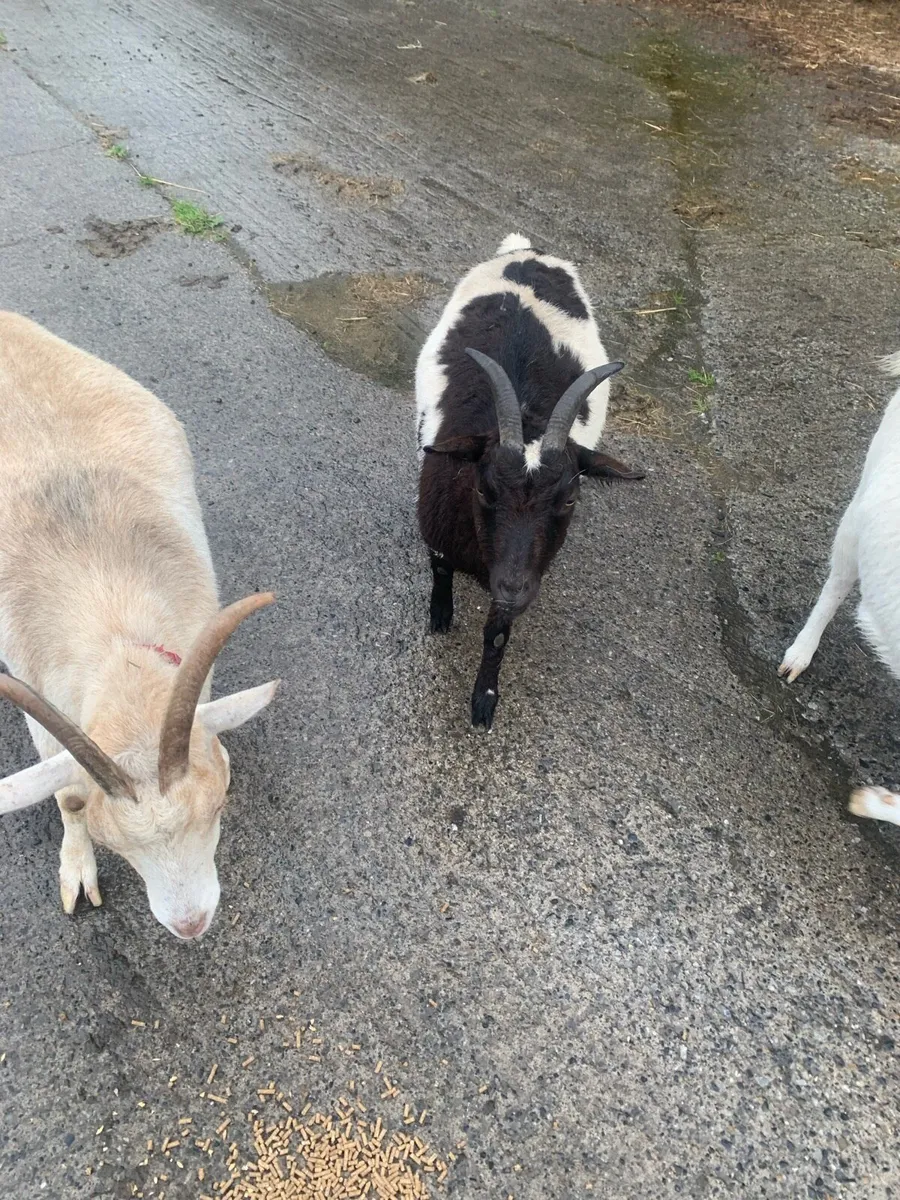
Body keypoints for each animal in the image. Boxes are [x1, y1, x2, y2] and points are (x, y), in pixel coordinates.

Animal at [0, 312, 278, 938]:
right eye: (115, 846)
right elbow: (67, 798)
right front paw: (77, 869)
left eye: (219, 807)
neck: (117, 635)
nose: (191, 925)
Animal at [416, 234, 643, 729]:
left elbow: (498, 635)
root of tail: (530, 252)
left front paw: (484, 698)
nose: (513, 588)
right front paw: (440, 614)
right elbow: (439, 568)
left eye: (570, 499)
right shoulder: (438, 527)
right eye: (483, 488)